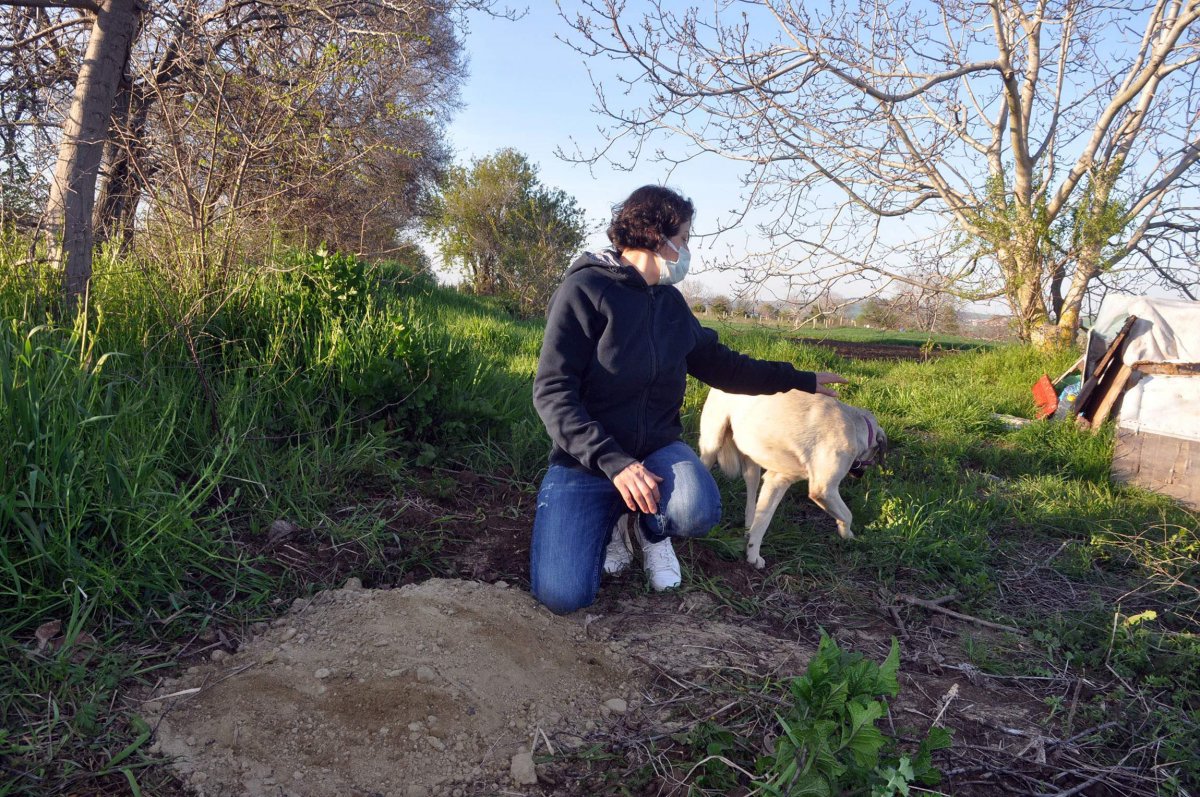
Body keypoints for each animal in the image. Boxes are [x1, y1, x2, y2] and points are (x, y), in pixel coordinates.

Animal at [700, 386, 888, 566]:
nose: (860, 475)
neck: (855, 426)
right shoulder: (824, 490)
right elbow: (848, 515)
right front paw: (848, 535)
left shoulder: (777, 480)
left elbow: (763, 521)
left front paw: (752, 554)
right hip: (712, 446)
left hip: (752, 464)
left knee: (751, 501)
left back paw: (748, 528)